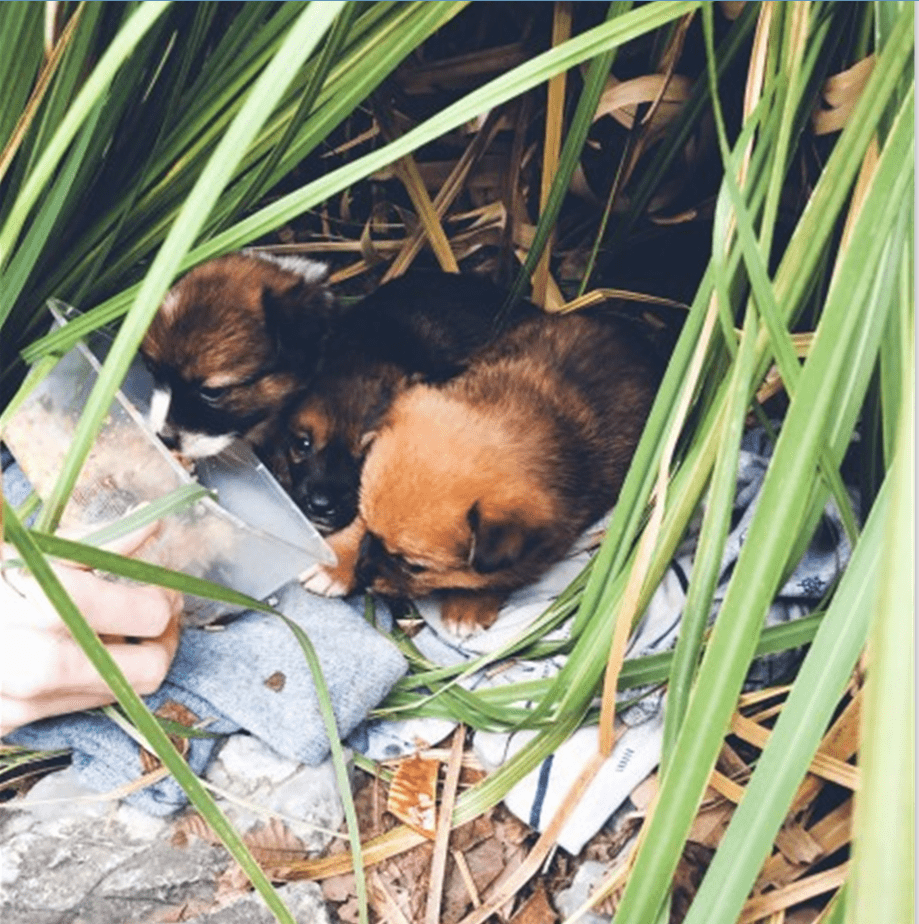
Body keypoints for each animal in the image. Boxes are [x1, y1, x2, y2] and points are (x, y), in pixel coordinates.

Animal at [306, 310, 664, 636]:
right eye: (366, 522)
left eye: (414, 566)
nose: (364, 573)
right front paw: (333, 564)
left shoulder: (541, 546)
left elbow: (495, 577)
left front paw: (468, 607)